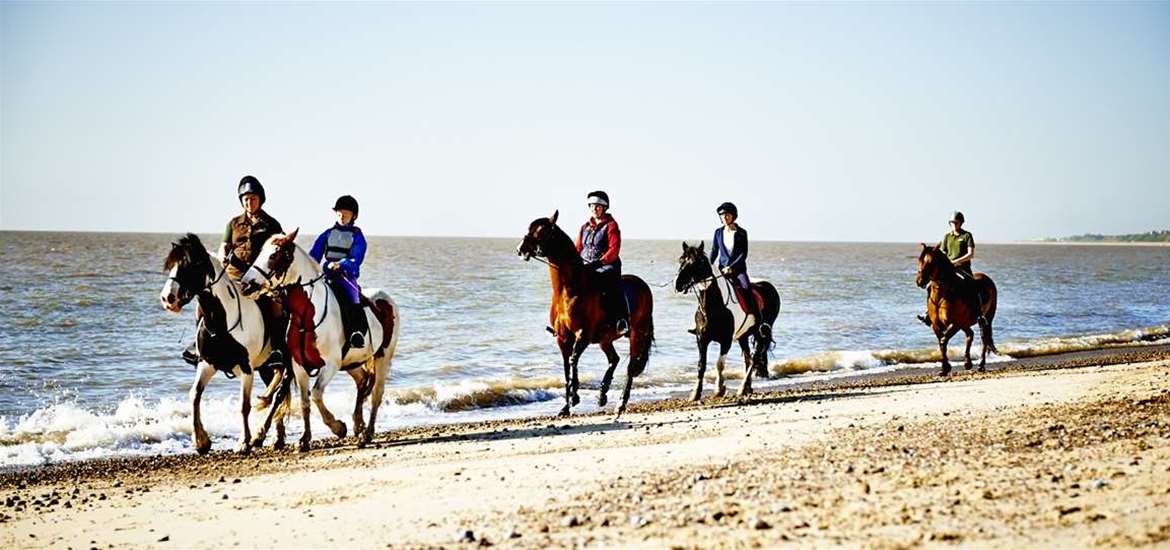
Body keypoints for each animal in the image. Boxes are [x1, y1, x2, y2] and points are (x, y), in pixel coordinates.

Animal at [160, 234, 290, 454]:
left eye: (190, 265)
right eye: (171, 266)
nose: (167, 298)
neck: (222, 321)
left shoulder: (246, 369)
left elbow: (244, 406)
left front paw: (243, 442)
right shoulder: (207, 364)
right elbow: (194, 395)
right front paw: (201, 441)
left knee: (280, 394)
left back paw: (261, 435)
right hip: (267, 367)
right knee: (275, 393)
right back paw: (274, 438)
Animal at [239, 229, 400, 449]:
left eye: (274, 255)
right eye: (259, 253)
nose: (245, 284)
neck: (307, 314)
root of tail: (386, 299)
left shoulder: (330, 364)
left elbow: (315, 395)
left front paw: (338, 427)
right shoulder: (298, 366)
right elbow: (304, 402)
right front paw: (305, 439)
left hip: (382, 357)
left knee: (376, 394)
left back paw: (366, 433)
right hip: (351, 362)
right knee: (362, 381)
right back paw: (358, 425)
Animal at [517, 210, 655, 416]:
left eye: (541, 231)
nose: (520, 249)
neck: (569, 290)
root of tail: (643, 285)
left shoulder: (582, 335)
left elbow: (573, 361)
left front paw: (575, 397)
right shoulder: (563, 338)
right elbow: (567, 366)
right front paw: (566, 406)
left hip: (637, 334)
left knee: (630, 367)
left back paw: (620, 404)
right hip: (606, 338)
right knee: (614, 359)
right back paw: (602, 394)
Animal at [673, 241, 781, 400]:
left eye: (697, 262)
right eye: (681, 260)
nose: (678, 284)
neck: (714, 305)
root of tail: (770, 287)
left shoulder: (726, 340)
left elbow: (719, 364)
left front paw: (719, 389)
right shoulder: (702, 339)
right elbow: (701, 365)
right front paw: (695, 393)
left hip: (762, 333)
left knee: (754, 359)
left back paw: (742, 388)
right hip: (743, 335)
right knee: (748, 360)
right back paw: (747, 388)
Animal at [912, 243, 996, 376]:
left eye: (931, 262)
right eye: (920, 260)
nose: (919, 281)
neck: (942, 294)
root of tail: (987, 279)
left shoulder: (955, 323)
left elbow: (943, 341)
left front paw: (946, 367)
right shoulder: (936, 325)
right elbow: (941, 343)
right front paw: (944, 369)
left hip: (985, 320)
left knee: (984, 339)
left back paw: (981, 365)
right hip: (965, 323)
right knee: (970, 335)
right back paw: (967, 363)